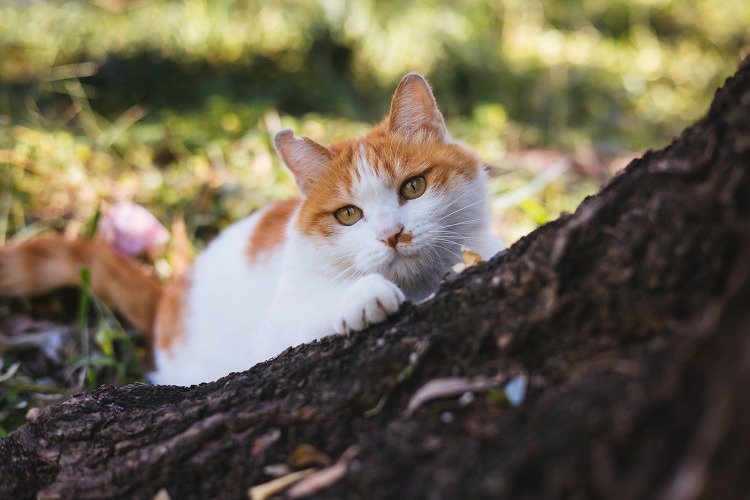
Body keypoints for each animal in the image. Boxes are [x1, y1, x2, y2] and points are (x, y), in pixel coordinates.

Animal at [1, 73, 506, 386]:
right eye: (348, 215)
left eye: (413, 187)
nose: (392, 234)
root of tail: (167, 299)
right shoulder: (272, 337)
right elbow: (308, 316)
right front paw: (365, 296)